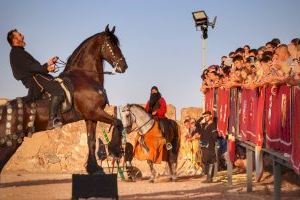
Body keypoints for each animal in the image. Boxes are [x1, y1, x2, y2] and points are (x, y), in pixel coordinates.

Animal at [0, 24, 127, 175]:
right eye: (111, 44)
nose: (124, 66)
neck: (85, 77)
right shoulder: (95, 112)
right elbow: (118, 122)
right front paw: (115, 150)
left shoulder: (90, 118)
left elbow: (91, 141)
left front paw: (94, 168)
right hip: (11, 142)